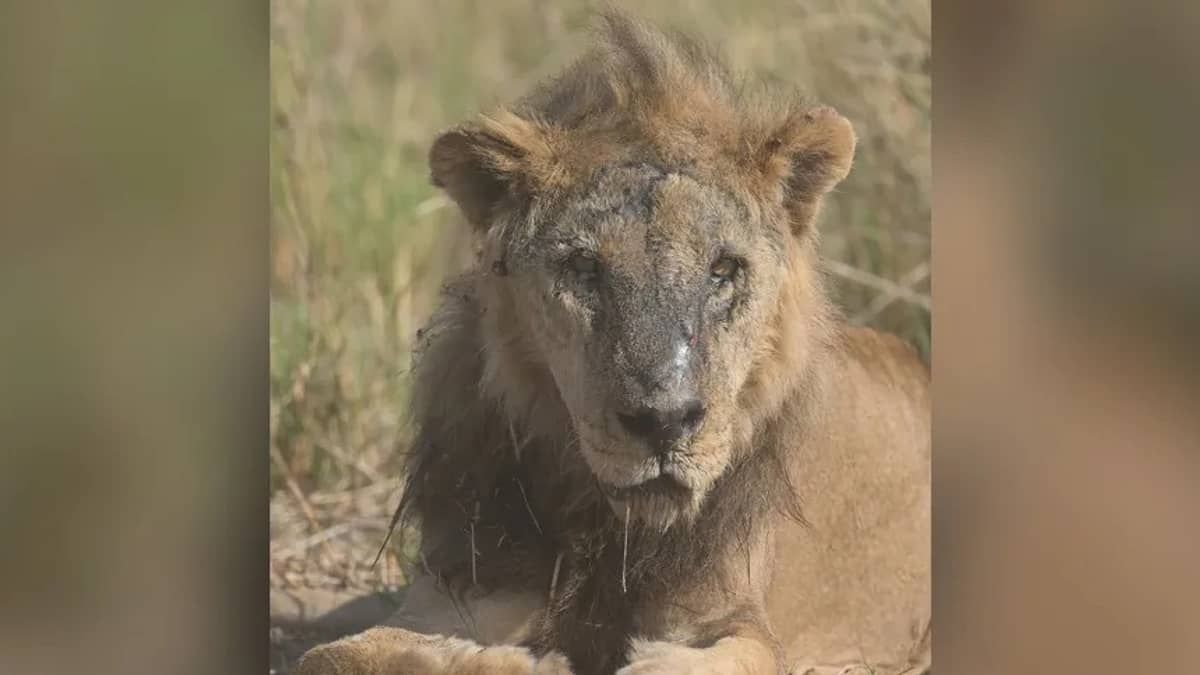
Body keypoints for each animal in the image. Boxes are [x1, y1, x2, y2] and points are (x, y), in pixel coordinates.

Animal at [297, 11, 929, 675]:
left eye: (723, 269)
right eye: (583, 268)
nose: (664, 422)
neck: (606, 527)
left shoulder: (739, 625)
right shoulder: (462, 588)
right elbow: (339, 655)